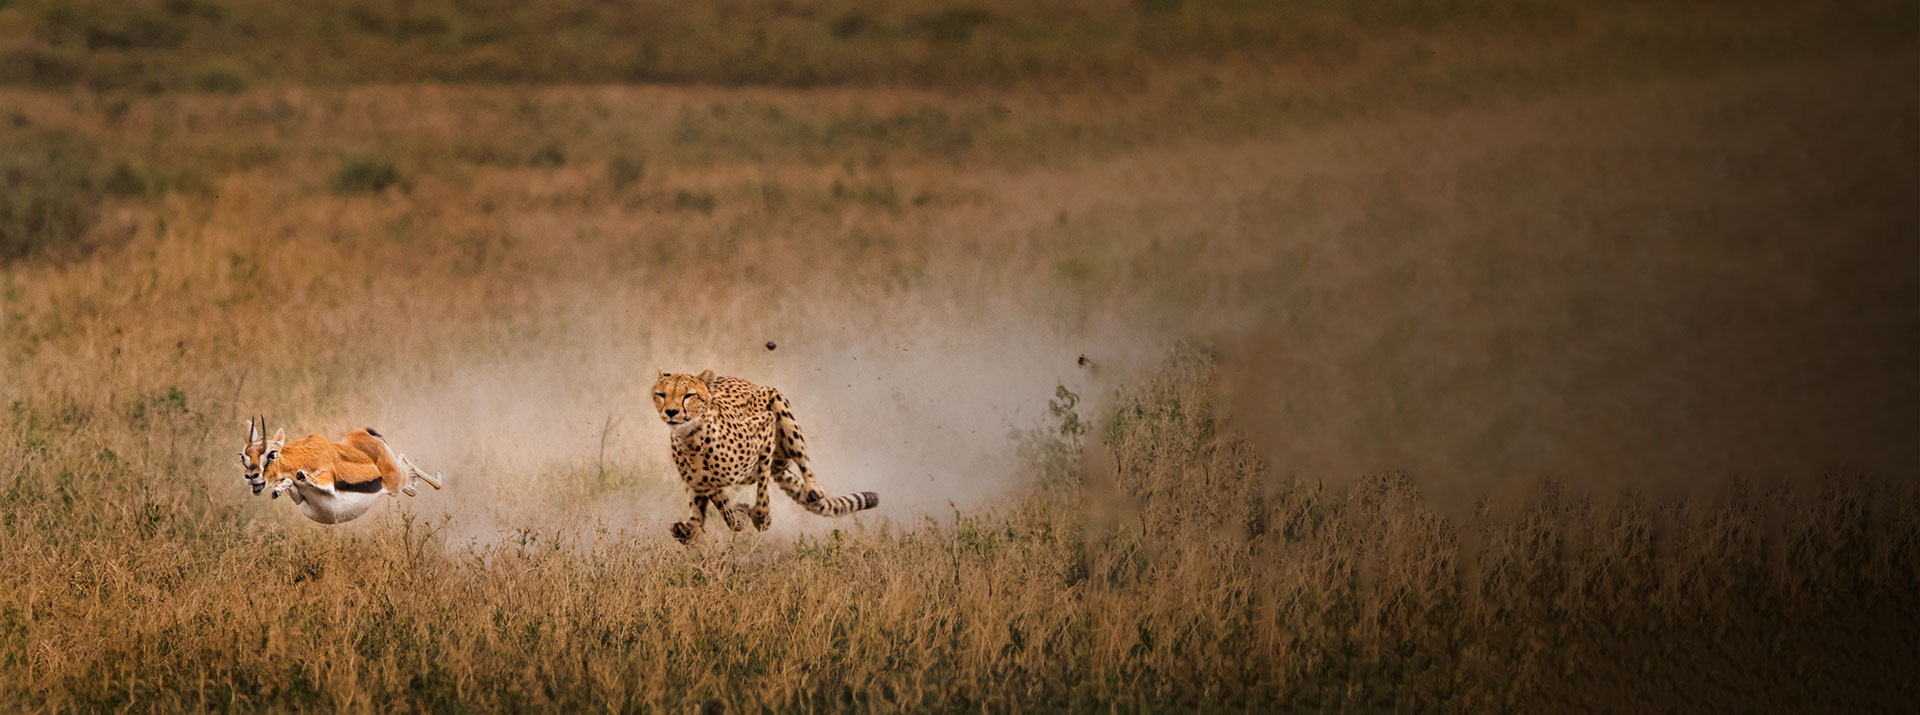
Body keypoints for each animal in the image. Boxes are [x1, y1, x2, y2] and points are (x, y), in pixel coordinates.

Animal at [652, 369, 879, 542]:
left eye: (688, 395)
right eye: (661, 394)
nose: (671, 412)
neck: (693, 438)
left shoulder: (766, 426)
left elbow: (762, 493)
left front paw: (761, 519)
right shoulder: (702, 482)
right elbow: (724, 507)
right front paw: (739, 516)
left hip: (778, 405)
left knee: (801, 460)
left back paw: (813, 487)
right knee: (698, 513)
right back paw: (688, 529)